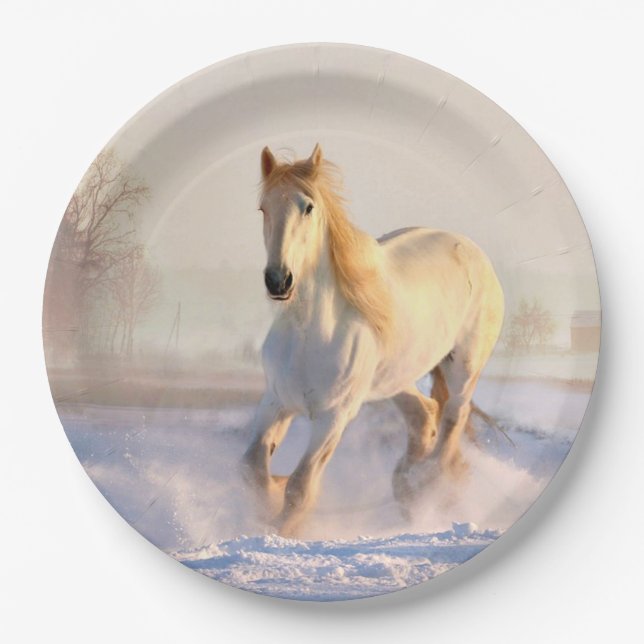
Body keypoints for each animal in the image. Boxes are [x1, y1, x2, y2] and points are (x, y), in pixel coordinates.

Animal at [242, 143, 504, 536]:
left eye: (308, 207)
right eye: (263, 208)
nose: (278, 280)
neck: (309, 333)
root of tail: (473, 250)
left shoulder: (334, 416)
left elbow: (300, 487)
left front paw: (281, 530)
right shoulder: (276, 401)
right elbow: (253, 469)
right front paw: (269, 501)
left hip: (464, 367)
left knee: (453, 419)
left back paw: (429, 488)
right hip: (393, 379)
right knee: (424, 415)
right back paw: (407, 487)